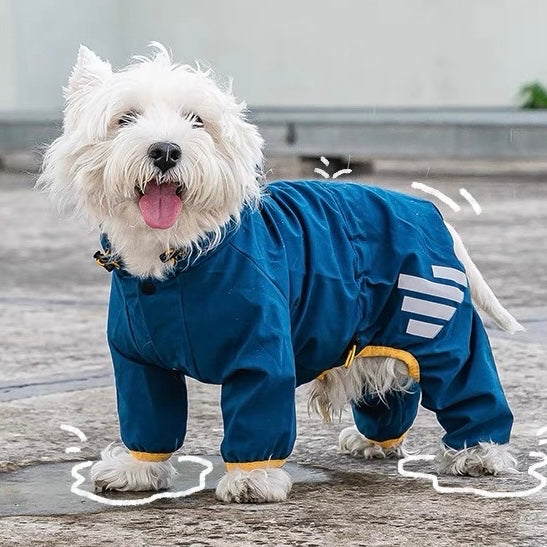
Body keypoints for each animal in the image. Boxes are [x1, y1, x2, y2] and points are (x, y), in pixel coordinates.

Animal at [38, 45, 524, 504]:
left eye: (197, 121)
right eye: (125, 118)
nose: (165, 150)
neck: (176, 259)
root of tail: (429, 212)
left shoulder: (261, 350)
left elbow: (258, 412)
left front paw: (252, 481)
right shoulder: (139, 362)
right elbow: (149, 417)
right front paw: (136, 470)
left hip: (435, 328)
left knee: (469, 381)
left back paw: (479, 454)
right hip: (379, 331)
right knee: (389, 389)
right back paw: (374, 442)